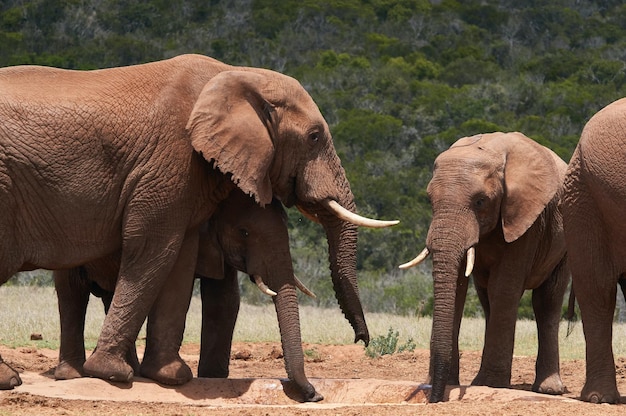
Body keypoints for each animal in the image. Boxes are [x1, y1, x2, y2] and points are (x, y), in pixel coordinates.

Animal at [52, 190, 322, 402]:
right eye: (244, 232)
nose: (314, 395)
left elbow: (225, 301)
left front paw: (213, 378)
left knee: (111, 295)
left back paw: (131, 371)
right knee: (71, 294)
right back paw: (71, 375)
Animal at [400, 132, 572, 404]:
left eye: (480, 201)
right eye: (429, 200)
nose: (433, 398)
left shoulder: (524, 219)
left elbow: (504, 288)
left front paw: (490, 384)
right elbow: (459, 291)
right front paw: (451, 384)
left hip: (564, 242)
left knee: (547, 302)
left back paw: (548, 389)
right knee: (487, 298)